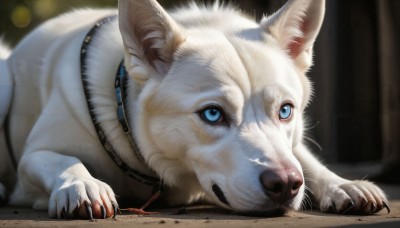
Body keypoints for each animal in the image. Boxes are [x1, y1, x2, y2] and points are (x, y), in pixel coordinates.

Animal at [0, 0, 388, 219]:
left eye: (285, 111)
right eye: (213, 114)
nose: (285, 185)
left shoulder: (291, 149)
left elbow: (304, 158)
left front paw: (342, 184)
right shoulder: (35, 157)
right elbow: (63, 161)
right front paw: (82, 185)